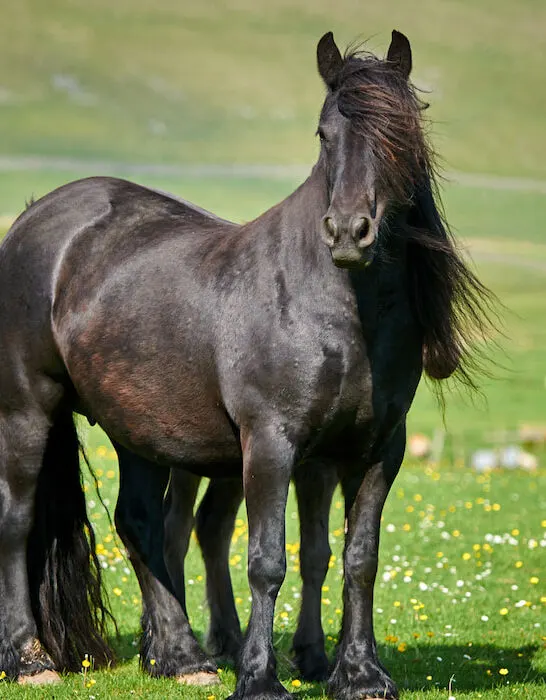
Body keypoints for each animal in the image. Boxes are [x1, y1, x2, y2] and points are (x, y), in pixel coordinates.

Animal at [0, 28, 493, 699]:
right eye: (324, 133)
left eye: (401, 134)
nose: (348, 232)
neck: (333, 307)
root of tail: (34, 217)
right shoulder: (270, 444)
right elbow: (266, 561)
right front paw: (259, 677)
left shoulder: (376, 451)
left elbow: (358, 558)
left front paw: (359, 673)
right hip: (28, 410)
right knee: (18, 522)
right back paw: (29, 659)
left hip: (138, 431)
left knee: (140, 524)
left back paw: (180, 657)